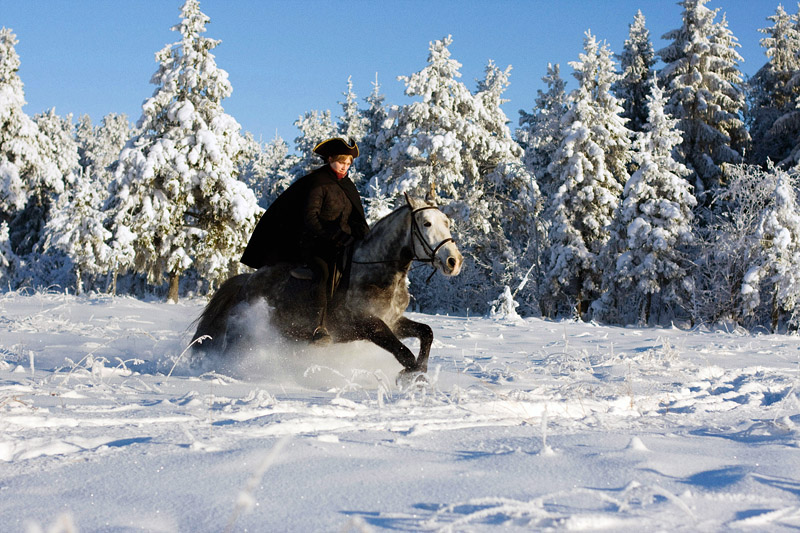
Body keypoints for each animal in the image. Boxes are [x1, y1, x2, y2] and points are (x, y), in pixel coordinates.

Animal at [191, 194, 462, 374]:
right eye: (426, 223)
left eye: (447, 223)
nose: (453, 261)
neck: (377, 270)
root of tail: (247, 280)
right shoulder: (368, 324)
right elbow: (403, 352)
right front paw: (413, 376)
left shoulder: (393, 321)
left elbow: (426, 332)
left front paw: (420, 371)